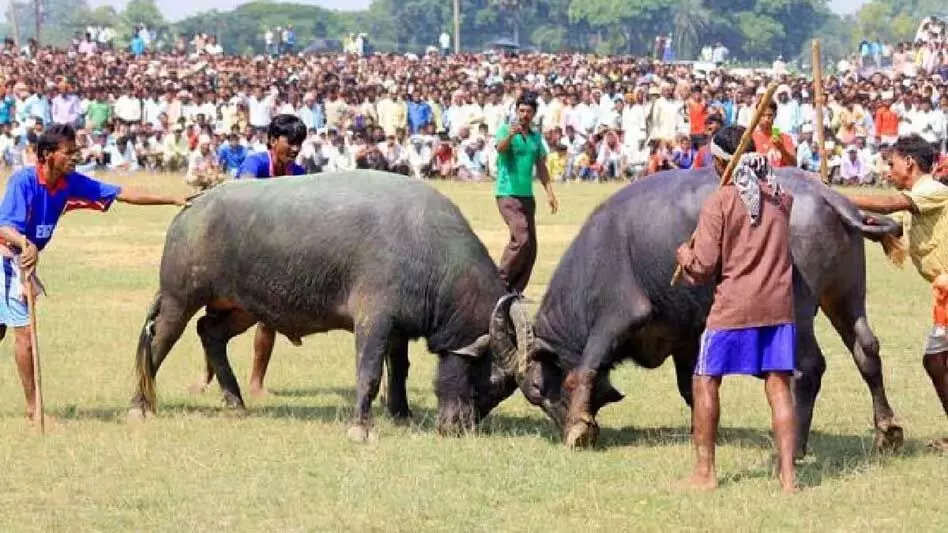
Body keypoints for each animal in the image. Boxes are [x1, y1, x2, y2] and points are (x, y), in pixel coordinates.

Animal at [124, 171, 524, 440]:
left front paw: (400, 413)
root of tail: (192, 207)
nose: (462, 426)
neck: (429, 249)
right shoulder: (373, 319)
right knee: (160, 341)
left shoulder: (398, 328)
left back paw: (235, 400)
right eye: (494, 383)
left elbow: (399, 370)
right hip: (179, 298)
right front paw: (361, 428)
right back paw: (139, 406)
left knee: (210, 331)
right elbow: (370, 373)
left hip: (243, 307)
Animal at [520, 167, 904, 458]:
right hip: (845, 296)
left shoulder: (616, 316)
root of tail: (830, 198)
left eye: (536, 390)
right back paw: (887, 431)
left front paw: (578, 428)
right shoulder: (685, 334)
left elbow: (586, 366)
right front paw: (702, 430)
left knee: (808, 367)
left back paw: (794, 446)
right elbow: (690, 385)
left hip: (797, 304)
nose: (559, 426)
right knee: (866, 350)